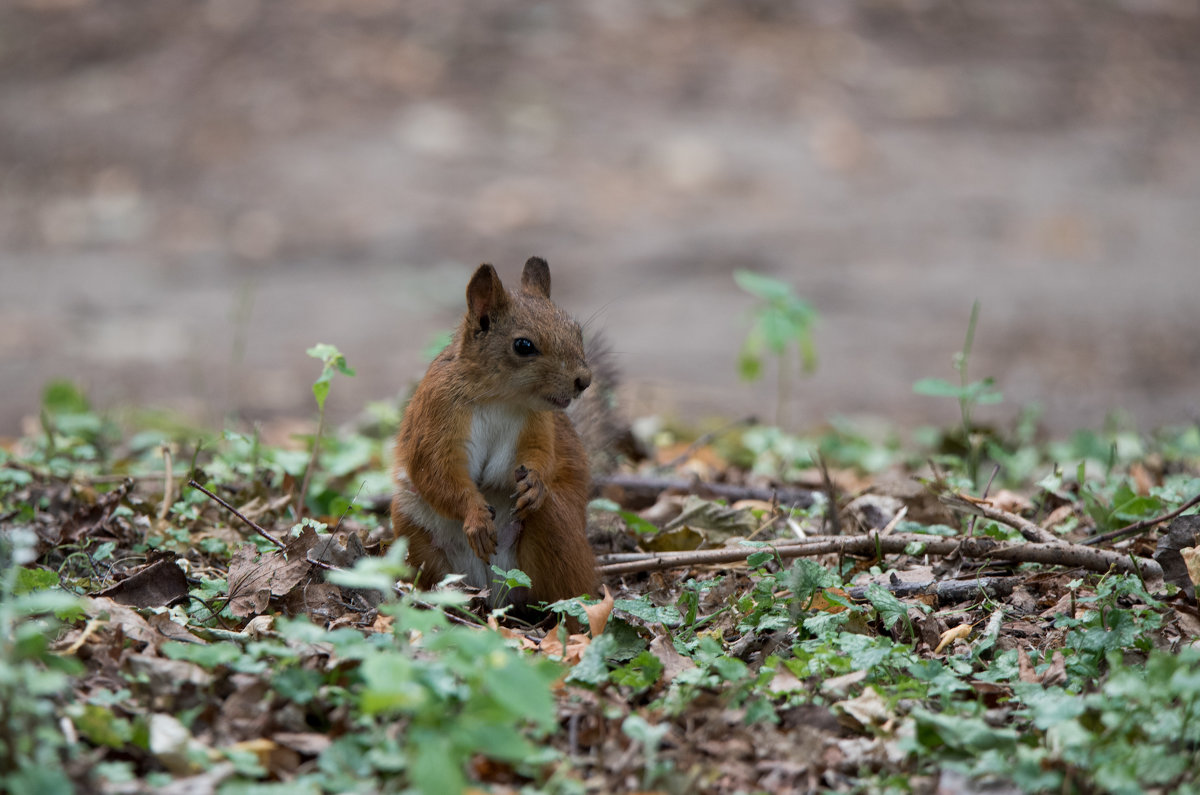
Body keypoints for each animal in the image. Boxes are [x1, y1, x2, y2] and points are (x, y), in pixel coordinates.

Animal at [393, 256, 600, 610]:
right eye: (523, 345)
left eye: (577, 330)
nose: (583, 380)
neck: (500, 398)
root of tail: (493, 588)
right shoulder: (437, 413)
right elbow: (436, 470)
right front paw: (475, 517)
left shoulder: (537, 426)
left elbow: (541, 455)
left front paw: (535, 482)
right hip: (413, 535)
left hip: (555, 529)